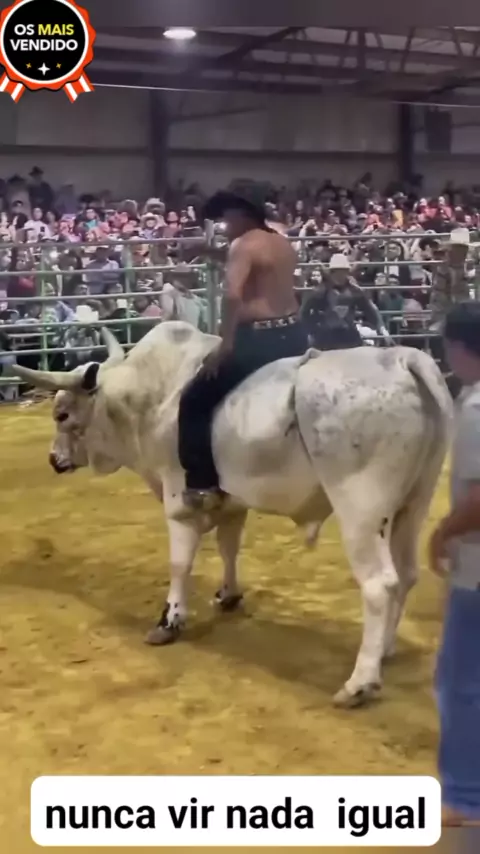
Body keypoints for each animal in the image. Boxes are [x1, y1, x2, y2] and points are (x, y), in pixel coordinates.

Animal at [12, 322, 453, 708]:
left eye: (62, 414)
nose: (54, 460)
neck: (153, 395)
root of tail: (399, 358)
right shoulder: (231, 502)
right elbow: (228, 548)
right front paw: (228, 595)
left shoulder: (179, 503)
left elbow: (180, 564)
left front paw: (170, 621)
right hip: (414, 503)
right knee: (406, 574)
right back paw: (385, 650)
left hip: (360, 511)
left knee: (380, 585)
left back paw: (360, 682)